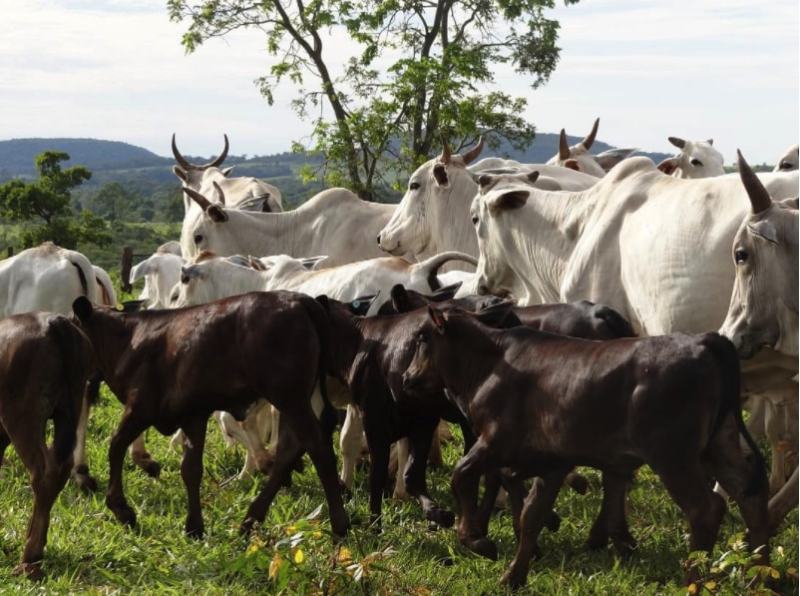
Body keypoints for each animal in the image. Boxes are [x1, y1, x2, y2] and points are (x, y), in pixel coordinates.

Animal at [73, 294, 348, 540]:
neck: (127, 339)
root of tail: (302, 301)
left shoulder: (141, 406)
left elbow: (116, 446)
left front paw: (121, 509)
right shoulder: (193, 414)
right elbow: (190, 469)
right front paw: (194, 526)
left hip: (289, 397)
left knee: (317, 448)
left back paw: (339, 525)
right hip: (299, 398)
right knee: (290, 450)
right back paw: (249, 521)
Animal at [404, 310, 772, 588]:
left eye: (422, 338)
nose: (407, 377)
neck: (492, 363)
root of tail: (705, 340)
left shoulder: (495, 442)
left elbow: (461, 476)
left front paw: (477, 540)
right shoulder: (551, 462)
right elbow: (531, 516)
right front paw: (514, 575)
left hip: (673, 456)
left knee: (706, 508)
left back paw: (693, 581)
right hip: (720, 444)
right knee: (750, 494)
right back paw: (761, 576)